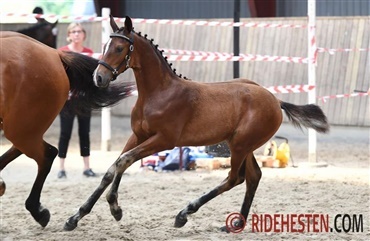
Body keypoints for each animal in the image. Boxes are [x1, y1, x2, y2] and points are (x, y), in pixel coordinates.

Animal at [63, 15, 330, 232]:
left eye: (119, 48)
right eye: (105, 46)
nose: (98, 77)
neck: (158, 93)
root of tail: (275, 100)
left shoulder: (164, 140)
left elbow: (122, 162)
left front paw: (112, 208)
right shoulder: (138, 136)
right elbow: (114, 167)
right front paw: (79, 216)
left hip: (240, 146)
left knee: (235, 178)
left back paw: (185, 213)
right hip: (243, 145)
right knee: (253, 176)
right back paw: (236, 223)